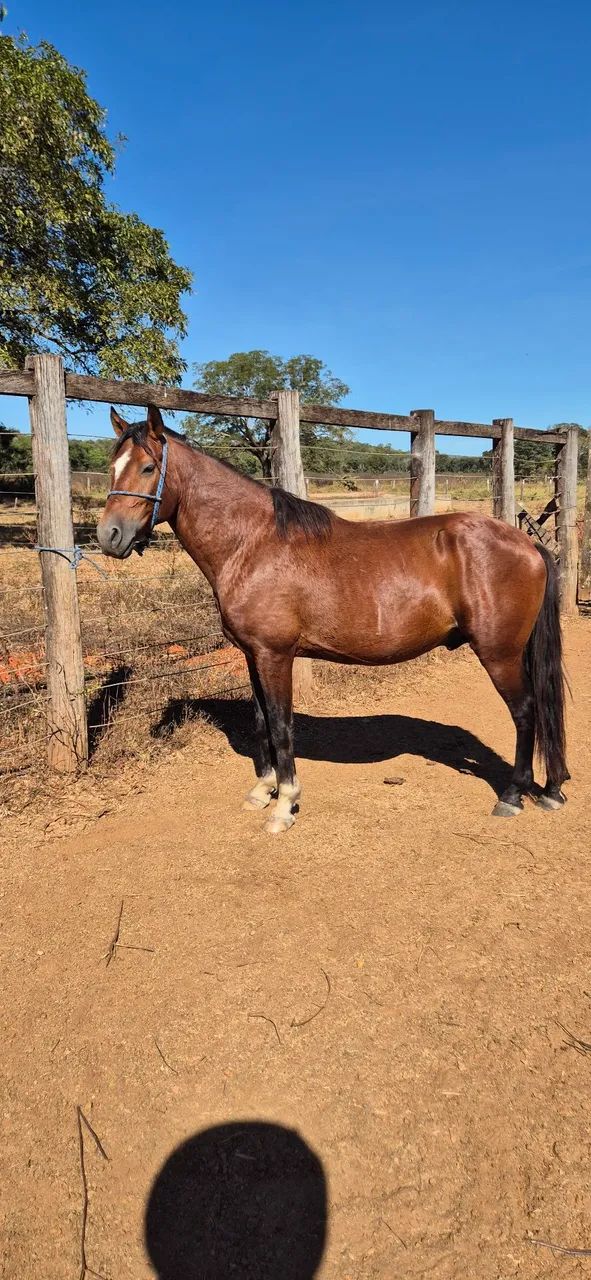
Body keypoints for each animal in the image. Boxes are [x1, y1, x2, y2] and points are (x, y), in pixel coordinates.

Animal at [96, 405, 569, 834]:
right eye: (111, 467)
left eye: (147, 467)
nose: (109, 536)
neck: (252, 543)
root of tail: (526, 543)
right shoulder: (252, 656)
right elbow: (261, 722)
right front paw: (263, 791)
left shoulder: (275, 655)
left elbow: (281, 725)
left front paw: (284, 806)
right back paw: (550, 788)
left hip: (499, 653)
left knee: (526, 711)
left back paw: (513, 794)